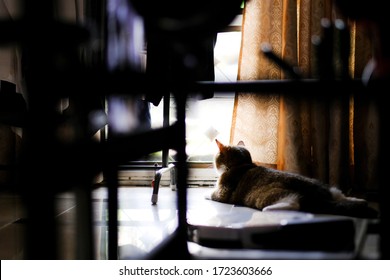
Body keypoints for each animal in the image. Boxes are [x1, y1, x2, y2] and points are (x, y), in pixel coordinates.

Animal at [209, 139, 380, 219]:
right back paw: (358, 200)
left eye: (217, 157)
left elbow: (211, 193)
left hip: (274, 195)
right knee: (339, 194)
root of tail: (319, 194)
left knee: (295, 204)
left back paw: (271, 209)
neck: (243, 164)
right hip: (326, 187)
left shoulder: (222, 192)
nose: (213, 163)